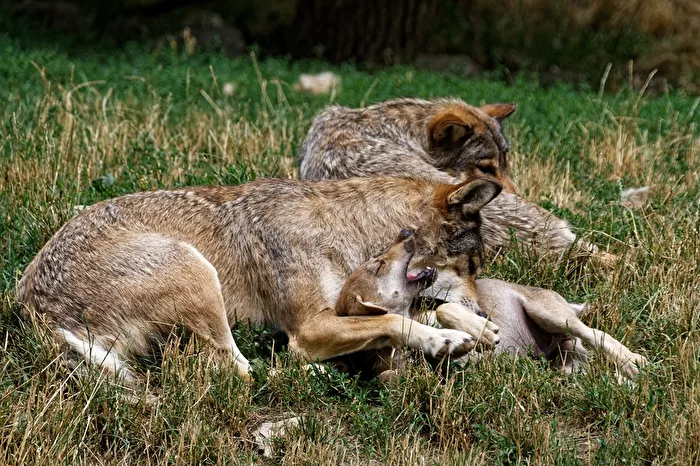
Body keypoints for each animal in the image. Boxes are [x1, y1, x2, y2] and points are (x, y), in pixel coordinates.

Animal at [16, 175, 502, 385]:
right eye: (472, 265)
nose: (482, 306)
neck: (354, 229)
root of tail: (33, 308)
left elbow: (430, 308)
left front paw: (479, 328)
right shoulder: (310, 328)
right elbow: (394, 321)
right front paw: (443, 341)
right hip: (197, 271)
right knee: (240, 371)